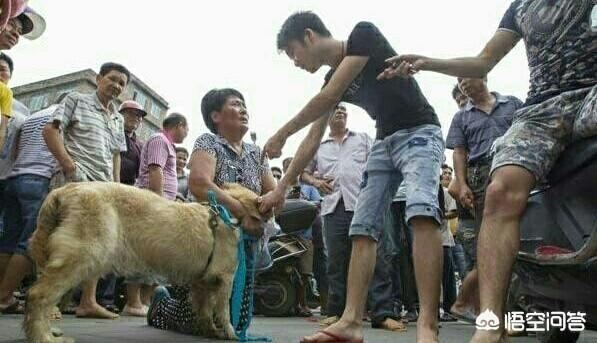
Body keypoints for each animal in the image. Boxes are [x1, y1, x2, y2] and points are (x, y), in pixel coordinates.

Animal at [24, 181, 264, 342]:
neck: (228, 213)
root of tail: (62, 191)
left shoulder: (202, 283)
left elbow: (205, 310)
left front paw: (211, 331)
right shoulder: (226, 279)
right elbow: (224, 310)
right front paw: (232, 333)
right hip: (83, 255)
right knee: (38, 295)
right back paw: (43, 337)